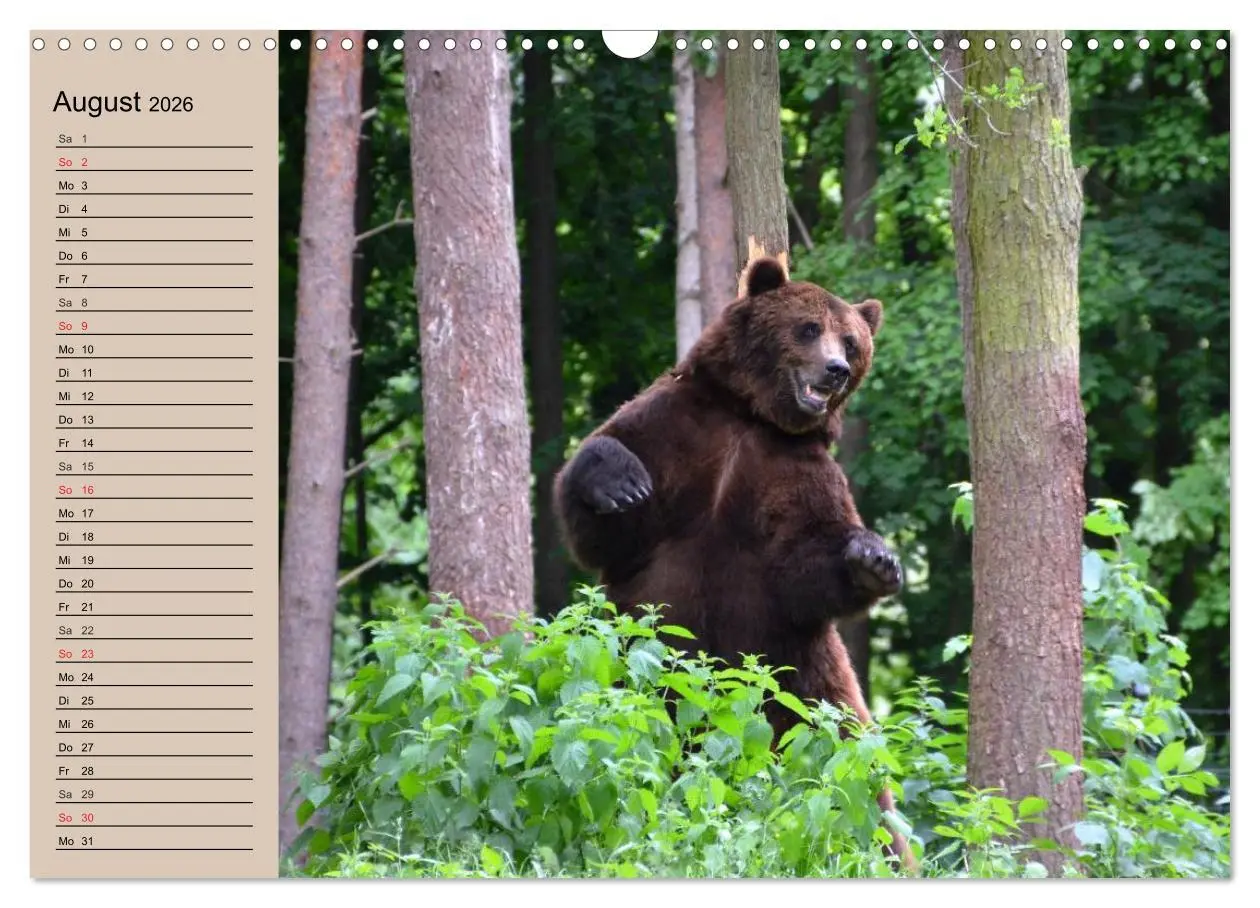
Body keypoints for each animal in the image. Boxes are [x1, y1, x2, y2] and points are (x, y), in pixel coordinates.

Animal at [553, 255, 912, 865]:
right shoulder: (676, 426)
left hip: (798, 676)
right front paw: (619, 482)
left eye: (851, 341)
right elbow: (602, 521)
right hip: (636, 664)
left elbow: (806, 563)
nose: (837, 370)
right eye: (809, 328)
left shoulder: (796, 471)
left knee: (849, 770)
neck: (753, 418)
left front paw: (873, 558)